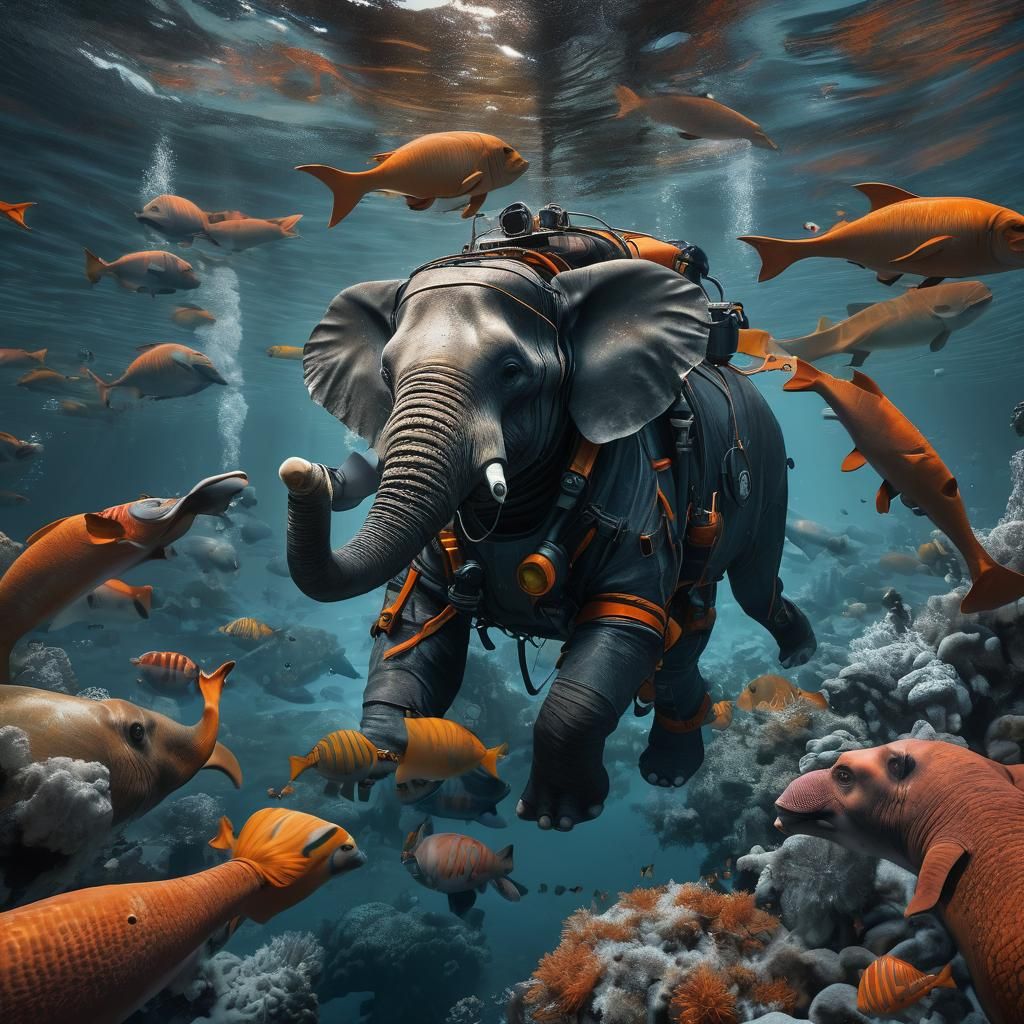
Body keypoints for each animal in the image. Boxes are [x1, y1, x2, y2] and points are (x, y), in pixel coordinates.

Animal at [281, 254, 816, 831]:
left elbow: (621, 629)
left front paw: (555, 815)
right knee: (689, 624)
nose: (304, 473)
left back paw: (796, 653)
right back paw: (674, 763)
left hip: (767, 467)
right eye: (386, 374)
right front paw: (379, 755)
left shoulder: (638, 495)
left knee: (750, 590)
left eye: (512, 371)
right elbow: (413, 625)